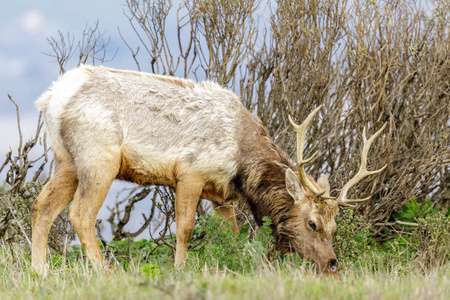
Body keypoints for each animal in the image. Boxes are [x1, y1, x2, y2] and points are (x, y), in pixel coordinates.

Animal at [31, 65, 384, 274]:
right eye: (312, 223)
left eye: (334, 227)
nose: (332, 263)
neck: (242, 164)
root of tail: (50, 98)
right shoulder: (190, 172)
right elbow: (185, 228)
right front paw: (180, 269)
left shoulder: (222, 195)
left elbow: (232, 234)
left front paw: (240, 264)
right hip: (99, 157)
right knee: (80, 214)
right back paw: (106, 272)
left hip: (66, 160)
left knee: (42, 206)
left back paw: (40, 271)